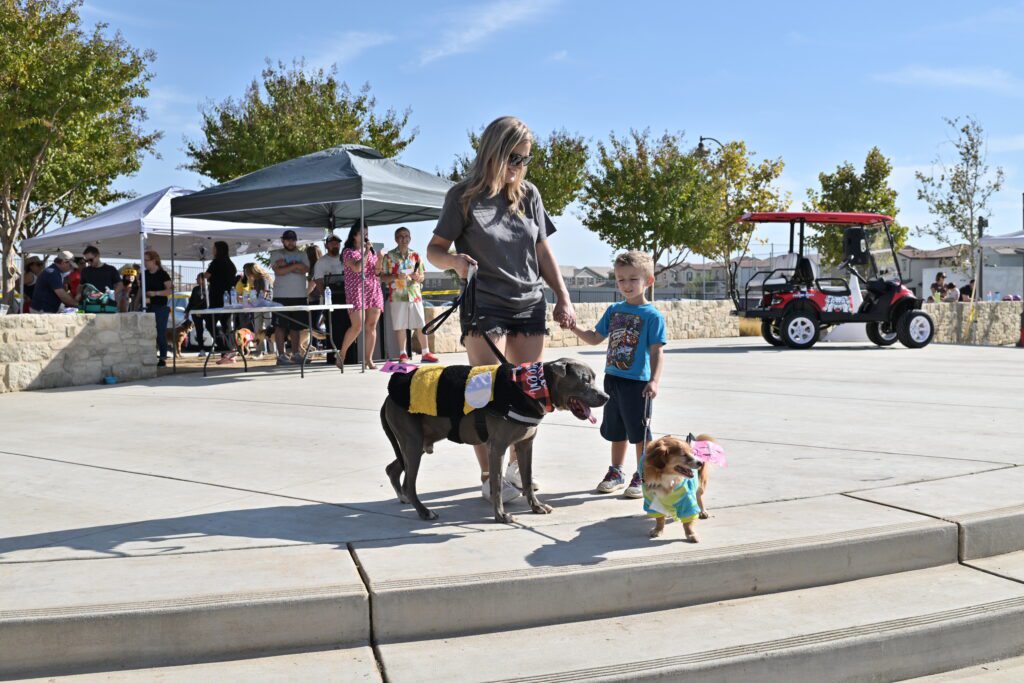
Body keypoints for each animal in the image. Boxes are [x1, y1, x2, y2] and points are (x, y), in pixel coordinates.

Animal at [382, 358, 606, 524]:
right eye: (585, 380)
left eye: (594, 378)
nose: (606, 397)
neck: (532, 388)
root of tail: (388, 397)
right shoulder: (497, 447)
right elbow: (496, 484)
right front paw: (501, 516)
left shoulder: (525, 445)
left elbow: (527, 478)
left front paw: (536, 506)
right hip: (412, 442)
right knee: (409, 482)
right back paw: (423, 511)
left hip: (418, 442)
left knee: (393, 469)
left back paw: (404, 497)